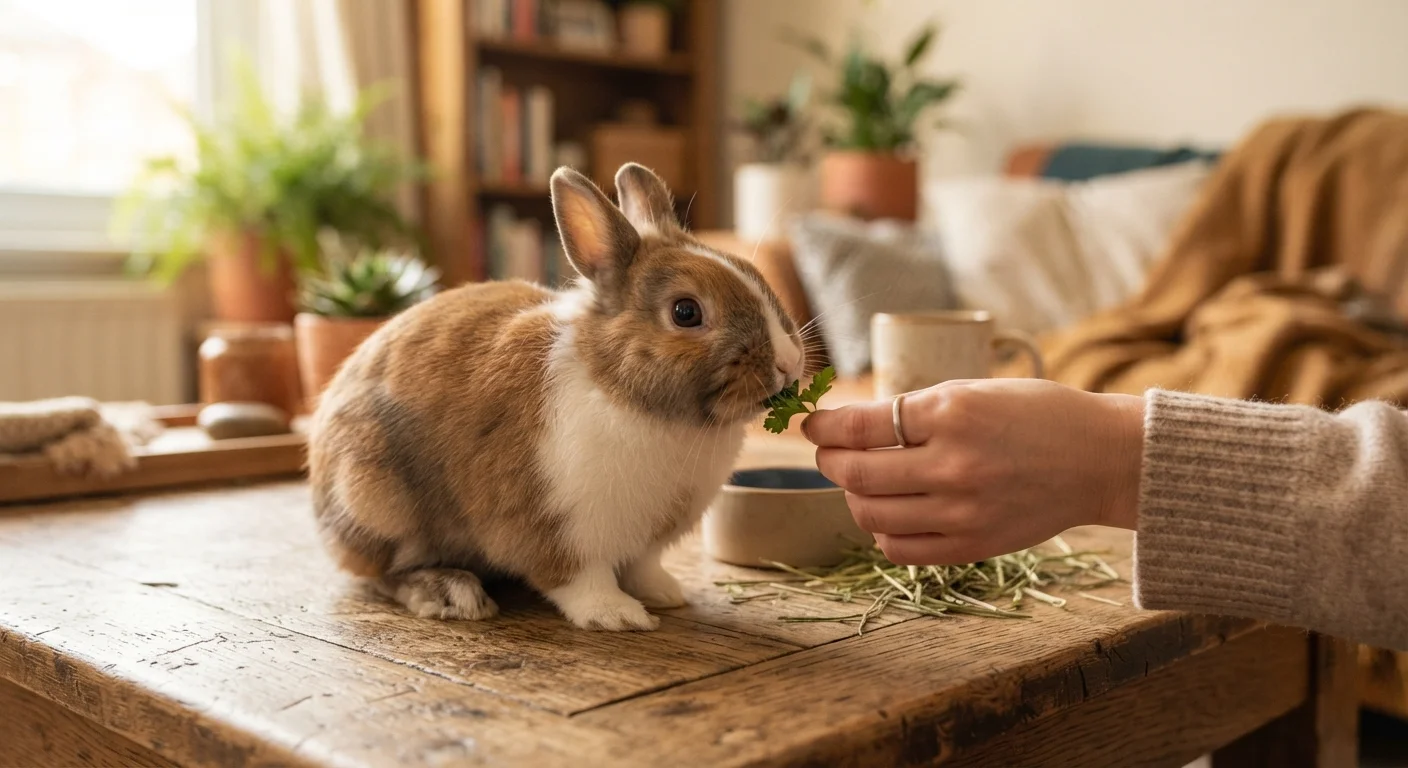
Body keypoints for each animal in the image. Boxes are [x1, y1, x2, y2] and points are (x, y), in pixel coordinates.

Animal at [307, 163, 805, 631]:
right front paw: (619, 616)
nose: (788, 362)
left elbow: (643, 568)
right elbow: (578, 580)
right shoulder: (556, 528)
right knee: (379, 573)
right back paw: (451, 593)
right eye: (686, 312)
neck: (621, 389)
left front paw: (665, 594)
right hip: (377, 501)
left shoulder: (646, 540)